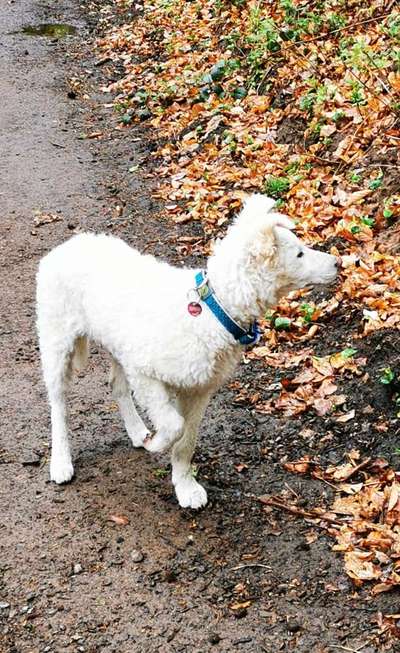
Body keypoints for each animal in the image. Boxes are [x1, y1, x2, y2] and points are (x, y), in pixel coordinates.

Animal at [36, 194, 338, 510]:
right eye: (300, 254)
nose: (338, 262)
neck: (215, 309)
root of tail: (67, 246)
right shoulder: (146, 373)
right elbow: (173, 425)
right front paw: (159, 444)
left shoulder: (197, 388)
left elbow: (186, 440)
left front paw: (185, 486)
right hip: (57, 340)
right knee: (58, 404)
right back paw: (61, 461)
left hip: (118, 344)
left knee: (116, 385)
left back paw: (137, 431)